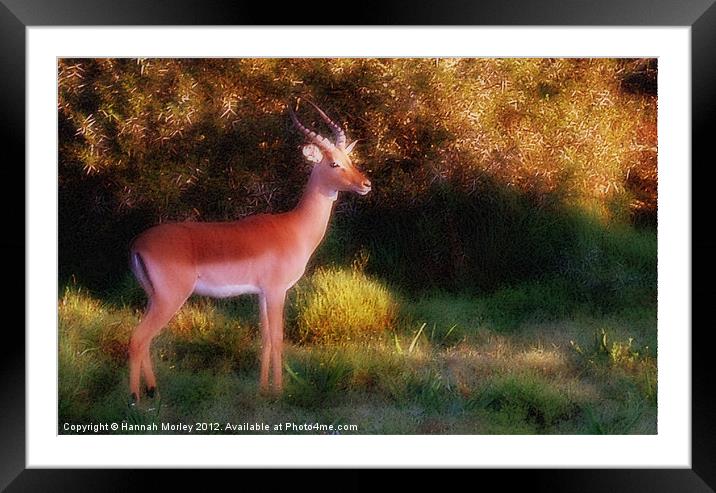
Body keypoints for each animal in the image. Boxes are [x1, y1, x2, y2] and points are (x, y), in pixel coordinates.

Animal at [128, 98, 372, 402]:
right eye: (333, 162)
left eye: (351, 160)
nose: (365, 184)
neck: (294, 228)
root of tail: (138, 244)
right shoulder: (277, 291)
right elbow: (278, 338)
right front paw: (279, 392)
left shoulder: (261, 294)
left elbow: (265, 339)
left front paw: (263, 389)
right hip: (170, 299)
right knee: (138, 339)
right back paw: (136, 399)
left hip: (154, 299)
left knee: (145, 340)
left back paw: (153, 392)